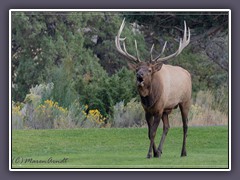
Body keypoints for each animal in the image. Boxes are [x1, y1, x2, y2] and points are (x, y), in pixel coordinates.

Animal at [115, 18, 192, 158]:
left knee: (185, 125)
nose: (139, 76)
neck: (150, 99)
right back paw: (161, 150)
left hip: (185, 101)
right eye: (136, 69)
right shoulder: (147, 111)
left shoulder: (158, 109)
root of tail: (188, 74)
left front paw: (150, 154)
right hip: (167, 109)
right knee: (167, 126)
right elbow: (149, 133)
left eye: (149, 70)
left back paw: (183, 152)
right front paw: (156, 152)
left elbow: (153, 132)